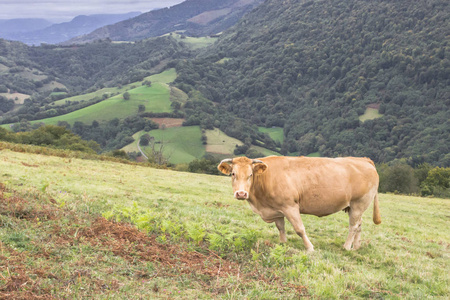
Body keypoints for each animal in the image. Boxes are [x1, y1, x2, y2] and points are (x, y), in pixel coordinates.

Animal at [217, 156, 380, 252]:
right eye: (233, 174)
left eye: (250, 175)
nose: (241, 194)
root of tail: (363, 159)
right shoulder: (276, 208)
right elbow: (281, 227)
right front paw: (283, 243)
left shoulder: (290, 206)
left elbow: (299, 229)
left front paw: (309, 248)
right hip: (353, 207)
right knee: (359, 224)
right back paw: (356, 246)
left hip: (359, 203)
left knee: (353, 226)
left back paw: (346, 247)